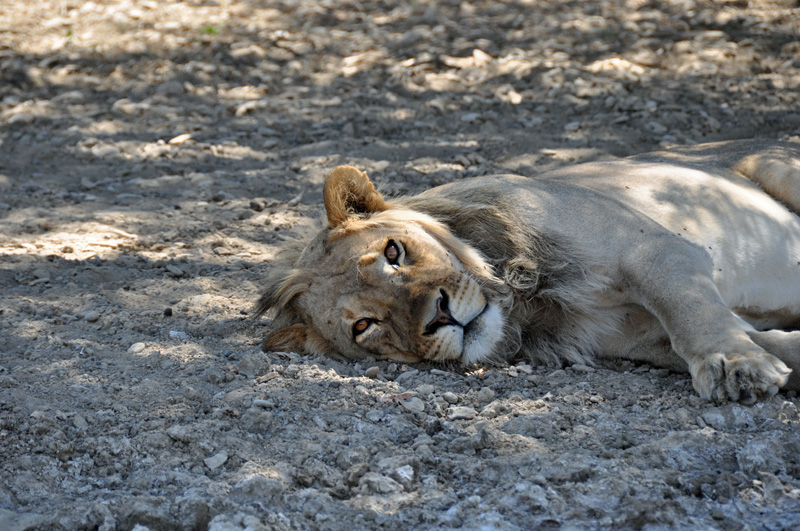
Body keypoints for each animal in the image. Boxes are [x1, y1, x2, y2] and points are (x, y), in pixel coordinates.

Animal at [256, 139, 800, 406]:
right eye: (365, 326)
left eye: (394, 252)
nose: (441, 318)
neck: (526, 304)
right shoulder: (641, 339)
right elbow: (763, 341)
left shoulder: (653, 250)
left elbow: (692, 315)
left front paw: (735, 366)